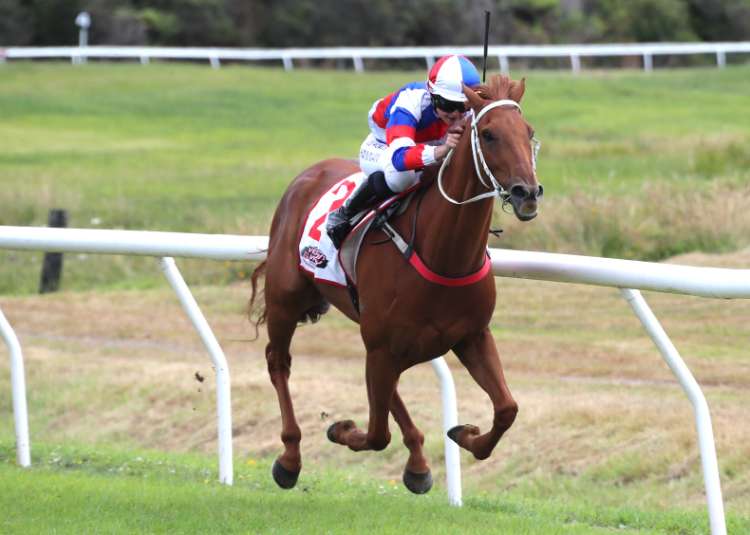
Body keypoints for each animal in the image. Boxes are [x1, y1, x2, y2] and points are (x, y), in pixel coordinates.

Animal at [250, 74, 542, 494]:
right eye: (488, 134)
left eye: (528, 131)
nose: (527, 193)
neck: (443, 254)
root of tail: (308, 174)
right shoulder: (383, 345)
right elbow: (375, 435)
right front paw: (342, 429)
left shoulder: (471, 336)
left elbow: (506, 408)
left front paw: (465, 434)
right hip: (285, 300)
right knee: (279, 362)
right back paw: (290, 458)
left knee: (389, 393)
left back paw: (418, 463)